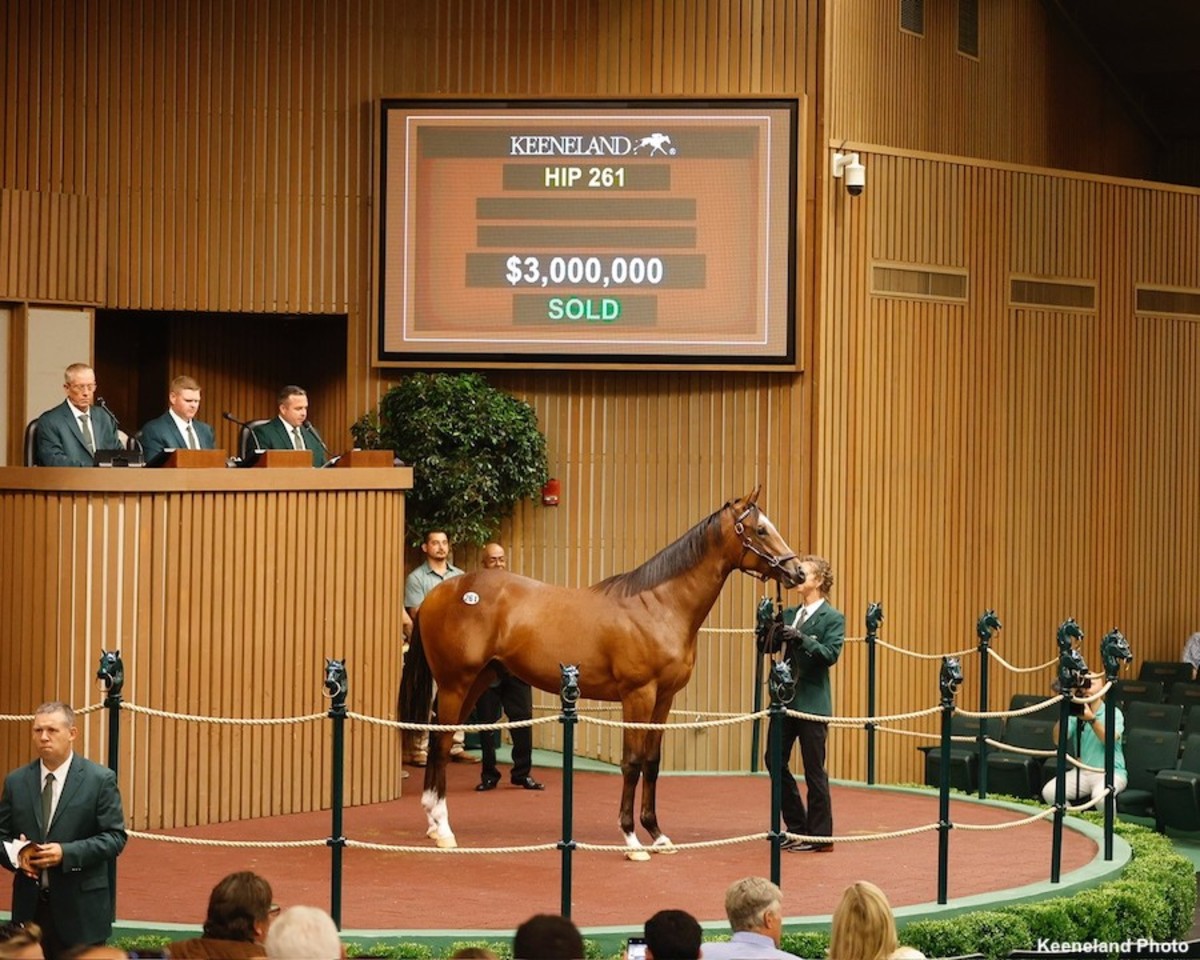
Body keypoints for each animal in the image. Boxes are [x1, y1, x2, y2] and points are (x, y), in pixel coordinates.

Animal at [398, 487, 801, 854]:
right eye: (761, 529)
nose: (797, 570)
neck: (659, 605)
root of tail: (440, 594)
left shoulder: (664, 699)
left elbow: (652, 762)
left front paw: (658, 834)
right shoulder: (638, 696)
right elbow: (632, 763)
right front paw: (632, 838)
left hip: (476, 681)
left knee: (439, 737)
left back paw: (434, 823)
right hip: (456, 683)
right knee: (441, 743)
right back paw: (444, 829)